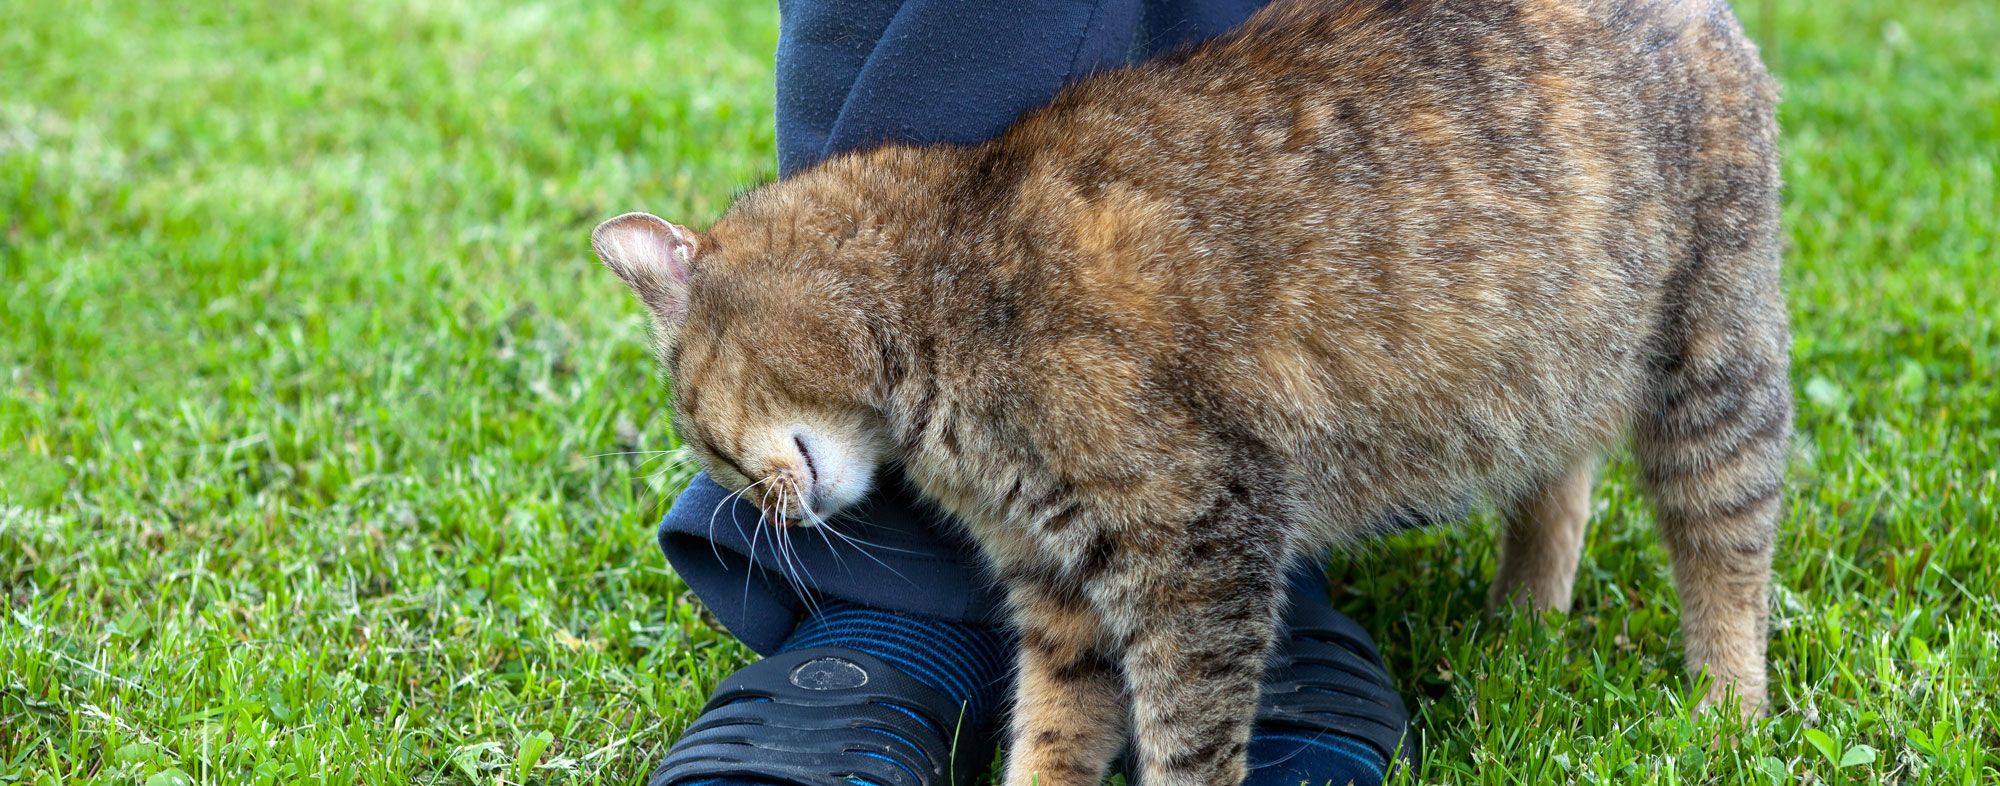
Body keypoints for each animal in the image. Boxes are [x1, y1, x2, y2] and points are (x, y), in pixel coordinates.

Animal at [588, 0, 1784, 780]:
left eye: (705, 440)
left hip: (1713, 359)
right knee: (1560, 470)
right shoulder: (1058, 589)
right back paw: (1523, 619)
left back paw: (1726, 710)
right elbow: (1054, 734)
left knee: (1725, 545)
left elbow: (1185, 739)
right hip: (1554, 362)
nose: (760, 514)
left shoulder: (1196, 551)